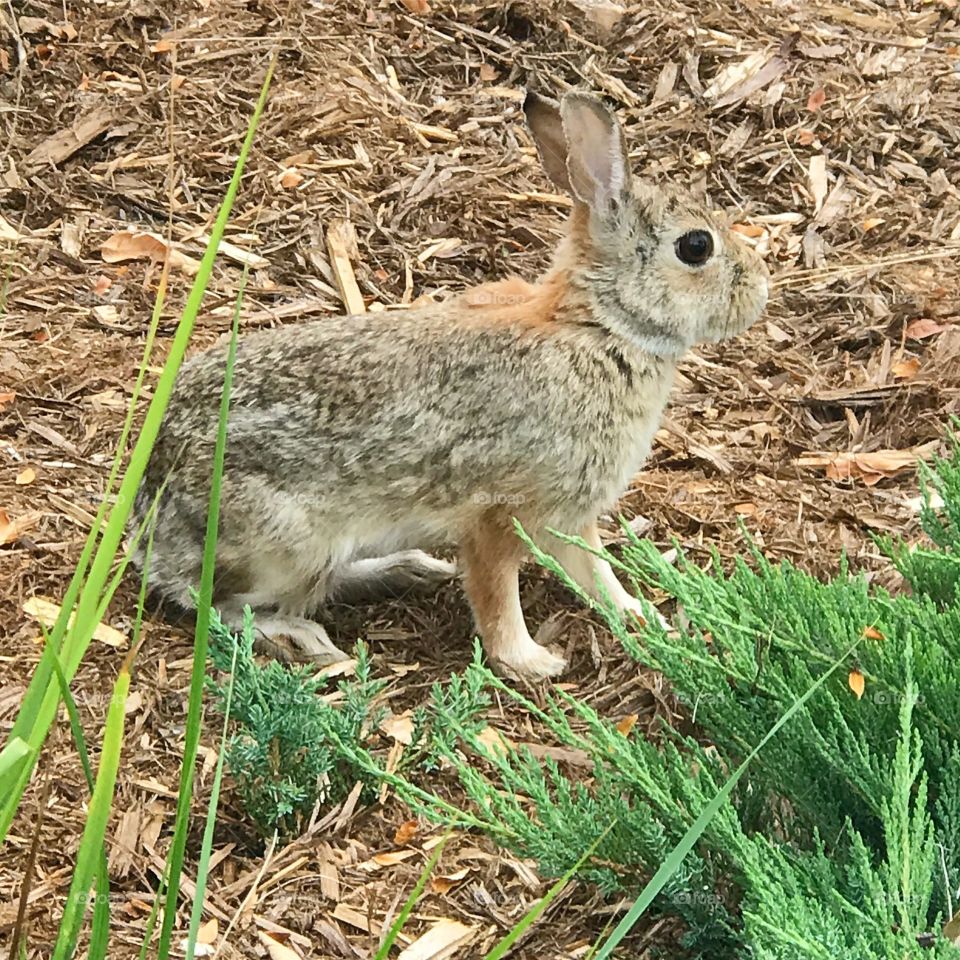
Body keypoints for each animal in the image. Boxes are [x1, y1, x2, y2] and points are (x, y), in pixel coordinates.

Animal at [131, 89, 768, 681]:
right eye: (695, 246)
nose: (761, 287)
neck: (599, 327)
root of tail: (150, 519)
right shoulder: (499, 513)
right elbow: (498, 595)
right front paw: (532, 661)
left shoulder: (571, 514)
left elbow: (597, 573)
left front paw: (645, 619)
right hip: (286, 545)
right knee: (213, 604)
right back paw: (299, 635)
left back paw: (409, 568)